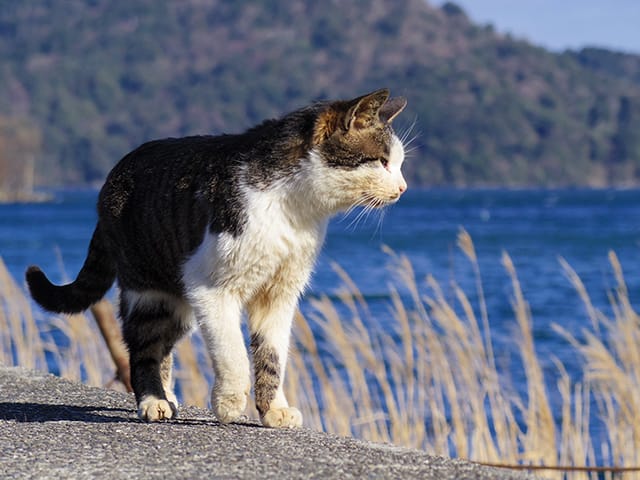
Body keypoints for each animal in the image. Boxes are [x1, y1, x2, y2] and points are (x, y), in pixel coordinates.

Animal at [27, 89, 408, 428]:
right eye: (382, 161)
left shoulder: (279, 295)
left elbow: (272, 356)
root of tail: (110, 180)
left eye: (400, 164)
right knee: (143, 347)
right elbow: (233, 353)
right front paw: (229, 402)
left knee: (163, 346)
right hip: (148, 290)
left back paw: (168, 395)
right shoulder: (210, 288)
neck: (294, 209)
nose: (403, 188)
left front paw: (274, 411)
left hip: (178, 305)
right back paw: (152, 401)